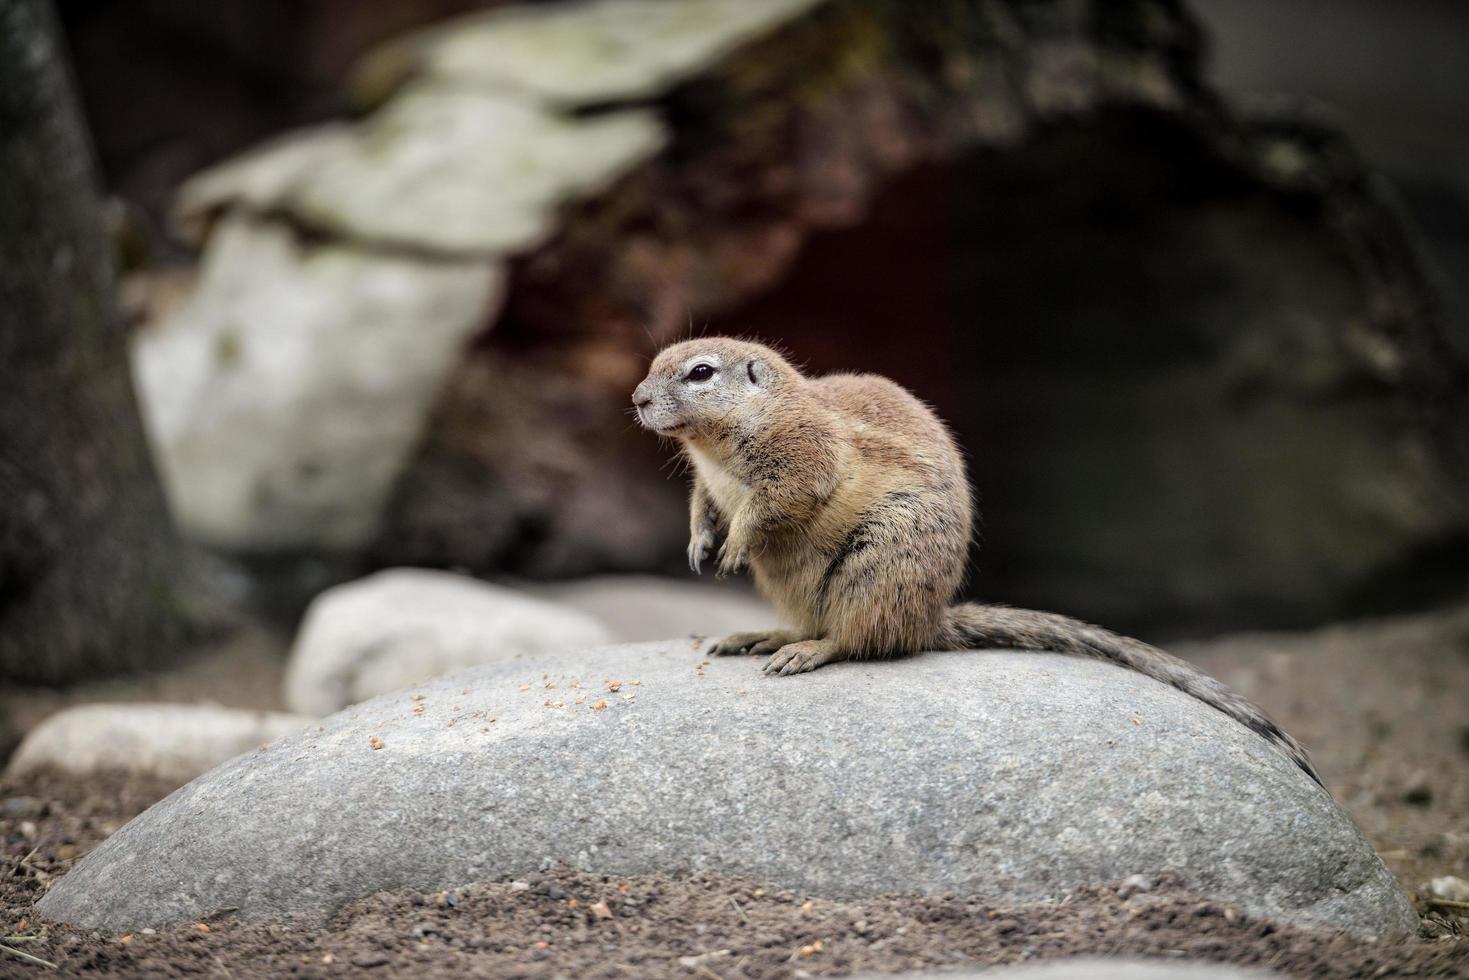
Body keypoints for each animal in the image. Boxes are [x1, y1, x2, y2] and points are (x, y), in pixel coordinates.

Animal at [631, 340, 1322, 787]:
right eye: (654, 364)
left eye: (699, 373)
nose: (636, 400)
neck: (722, 443)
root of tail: (932, 619)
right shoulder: (706, 482)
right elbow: (701, 505)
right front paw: (699, 543)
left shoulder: (803, 457)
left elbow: (775, 502)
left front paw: (735, 543)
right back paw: (761, 635)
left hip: (876, 568)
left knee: (856, 640)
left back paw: (806, 651)